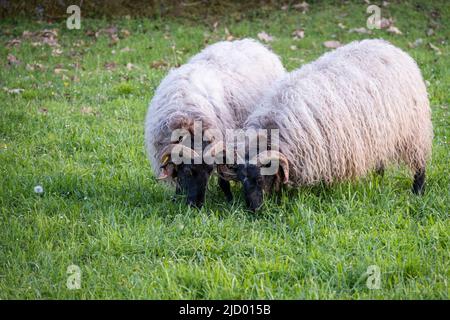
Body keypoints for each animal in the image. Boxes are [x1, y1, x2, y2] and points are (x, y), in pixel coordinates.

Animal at [144, 38, 284, 208]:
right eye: (189, 171)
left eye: (210, 170)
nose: (197, 205)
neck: (188, 121)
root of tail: (254, 43)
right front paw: (177, 197)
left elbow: (223, 180)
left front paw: (229, 199)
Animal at [227, 38, 434, 211]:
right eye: (241, 180)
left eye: (260, 178)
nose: (253, 209)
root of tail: (390, 47)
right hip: (379, 132)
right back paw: (377, 179)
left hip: (414, 129)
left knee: (420, 162)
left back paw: (417, 191)